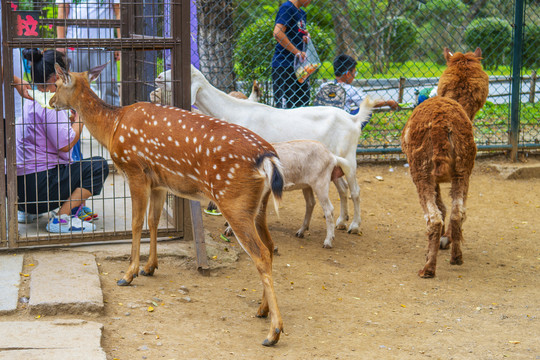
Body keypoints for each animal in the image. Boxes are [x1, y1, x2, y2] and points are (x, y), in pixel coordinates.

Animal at [51, 64, 286, 346]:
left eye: (56, 84)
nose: (51, 102)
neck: (113, 127)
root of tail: (269, 158)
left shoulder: (135, 171)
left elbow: (136, 223)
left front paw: (129, 274)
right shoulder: (160, 183)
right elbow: (153, 221)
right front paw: (150, 267)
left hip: (233, 201)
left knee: (260, 253)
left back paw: (273, 332)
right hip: (258, 205)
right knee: (270, 246)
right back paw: (262, 309)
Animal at [191, 65, 376, 233]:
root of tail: (353, 118)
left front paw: (232, 228)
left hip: (349, 159)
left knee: (355, 192)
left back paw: (354, 226)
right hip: (334, 164)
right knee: (343, 189)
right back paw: (341, 221)